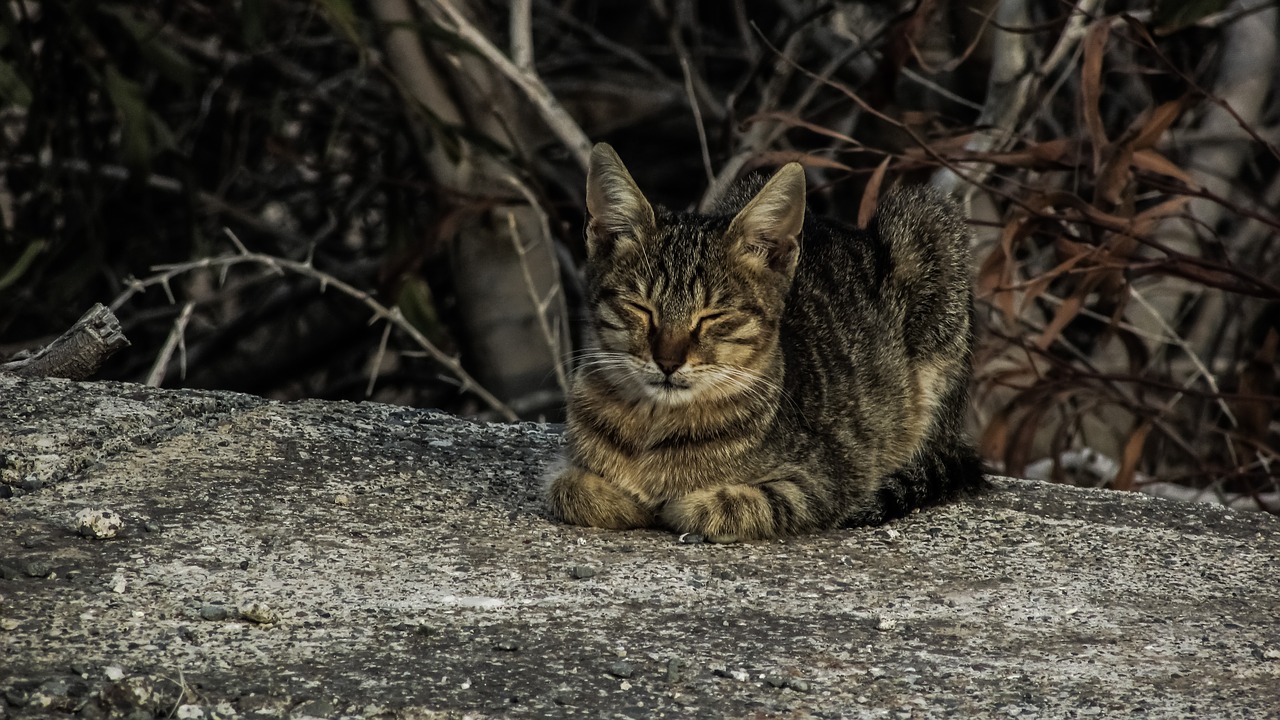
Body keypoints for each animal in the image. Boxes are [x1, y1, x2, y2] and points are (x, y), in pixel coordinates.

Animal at [545, 141, 983, 538]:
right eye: (640, 308)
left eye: (714, 315)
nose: (668, 361)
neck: (652, 426)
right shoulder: (569, 470)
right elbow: (567, 489)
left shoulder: (828, 478)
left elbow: (731, 505)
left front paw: (678, 503)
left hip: (926, 224)